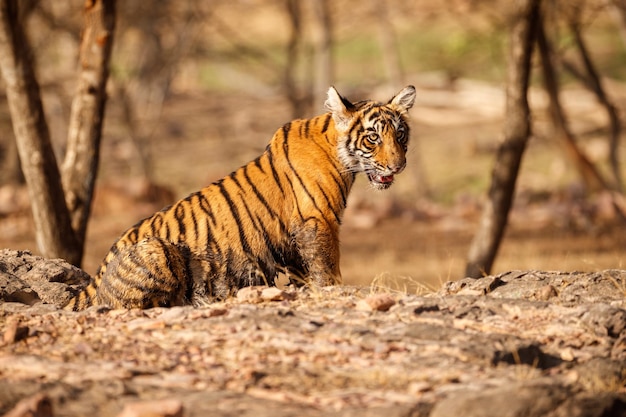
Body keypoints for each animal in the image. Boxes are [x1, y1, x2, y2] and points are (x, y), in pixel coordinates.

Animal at [64, 86, 414, 308]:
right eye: (372, 138)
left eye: (400, 135)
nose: (398, 166)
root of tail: (98, 270)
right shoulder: (318, 222)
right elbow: (327, 269)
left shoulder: (293, 242)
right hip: (156, 249)